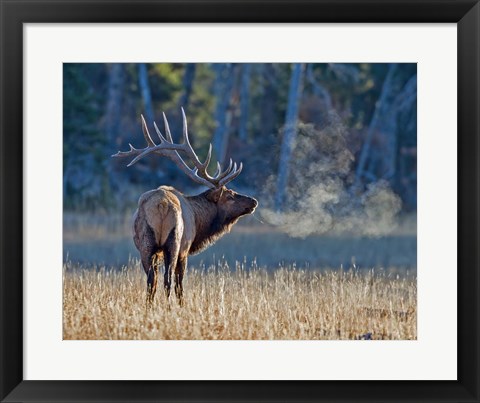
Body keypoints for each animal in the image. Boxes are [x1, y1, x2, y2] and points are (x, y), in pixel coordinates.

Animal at [113, 109, 258, 304]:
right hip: (174, 242)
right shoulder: (185, 250)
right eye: (229, 195)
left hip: (146, 244)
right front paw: (182, 305)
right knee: (168, 280)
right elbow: (179, 285)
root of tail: (161, 205)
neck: (198, 220)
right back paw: (169, 307)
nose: (253, 201)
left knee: (151, 280)